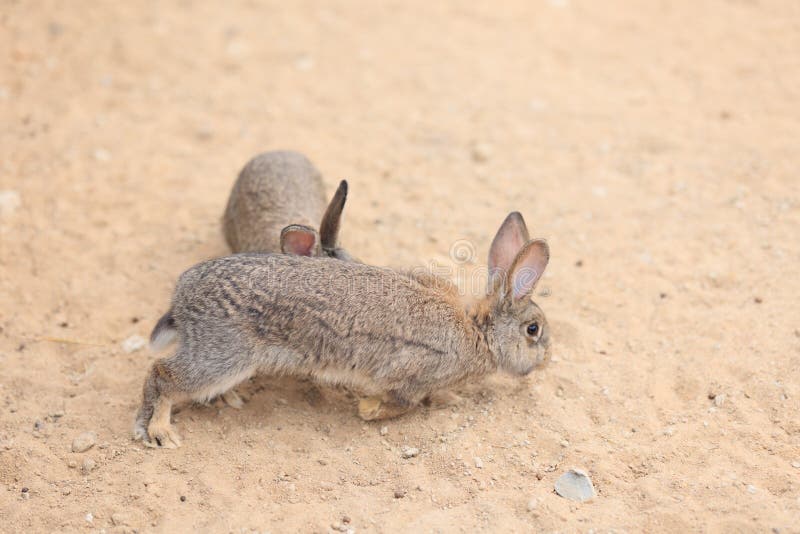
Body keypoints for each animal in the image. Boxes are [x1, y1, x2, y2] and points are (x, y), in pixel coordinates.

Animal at [133, 212, 550, 448]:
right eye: (533, 329)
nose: (545, 361)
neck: (480, 331)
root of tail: (183, 296)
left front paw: (451, 399)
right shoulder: (413, 374)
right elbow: (403, 404)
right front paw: (370, 410)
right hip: (223, 356)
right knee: (162, 375)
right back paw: (160, 432)